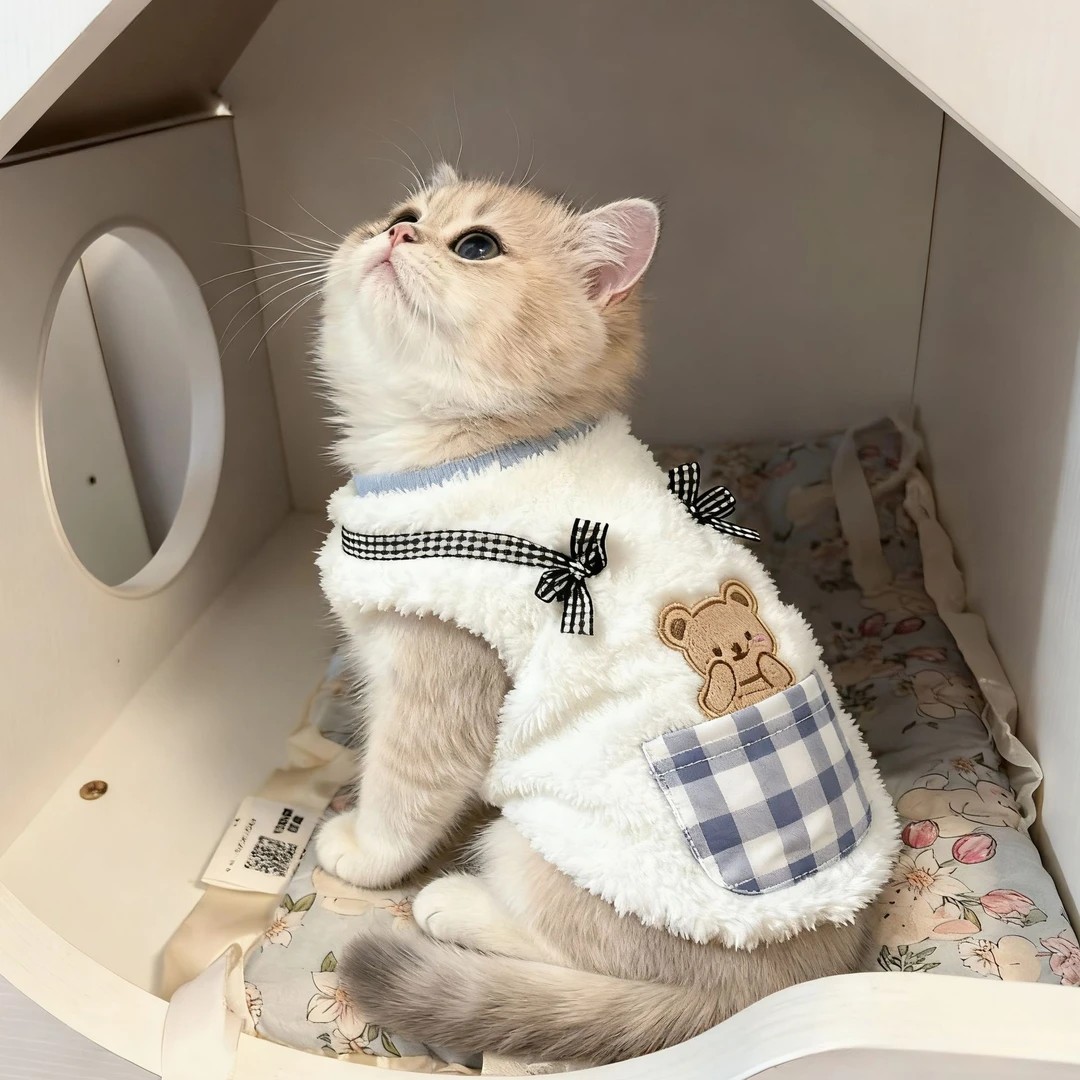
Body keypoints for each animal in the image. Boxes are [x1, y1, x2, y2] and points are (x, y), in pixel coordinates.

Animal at [658, 579, 795, 718]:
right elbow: (716, 700)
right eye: (716, 651)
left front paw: (763, 658)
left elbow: (780, 674)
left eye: (748, 635)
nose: (737, 648)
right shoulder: (714, 701)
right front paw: (720, 669)